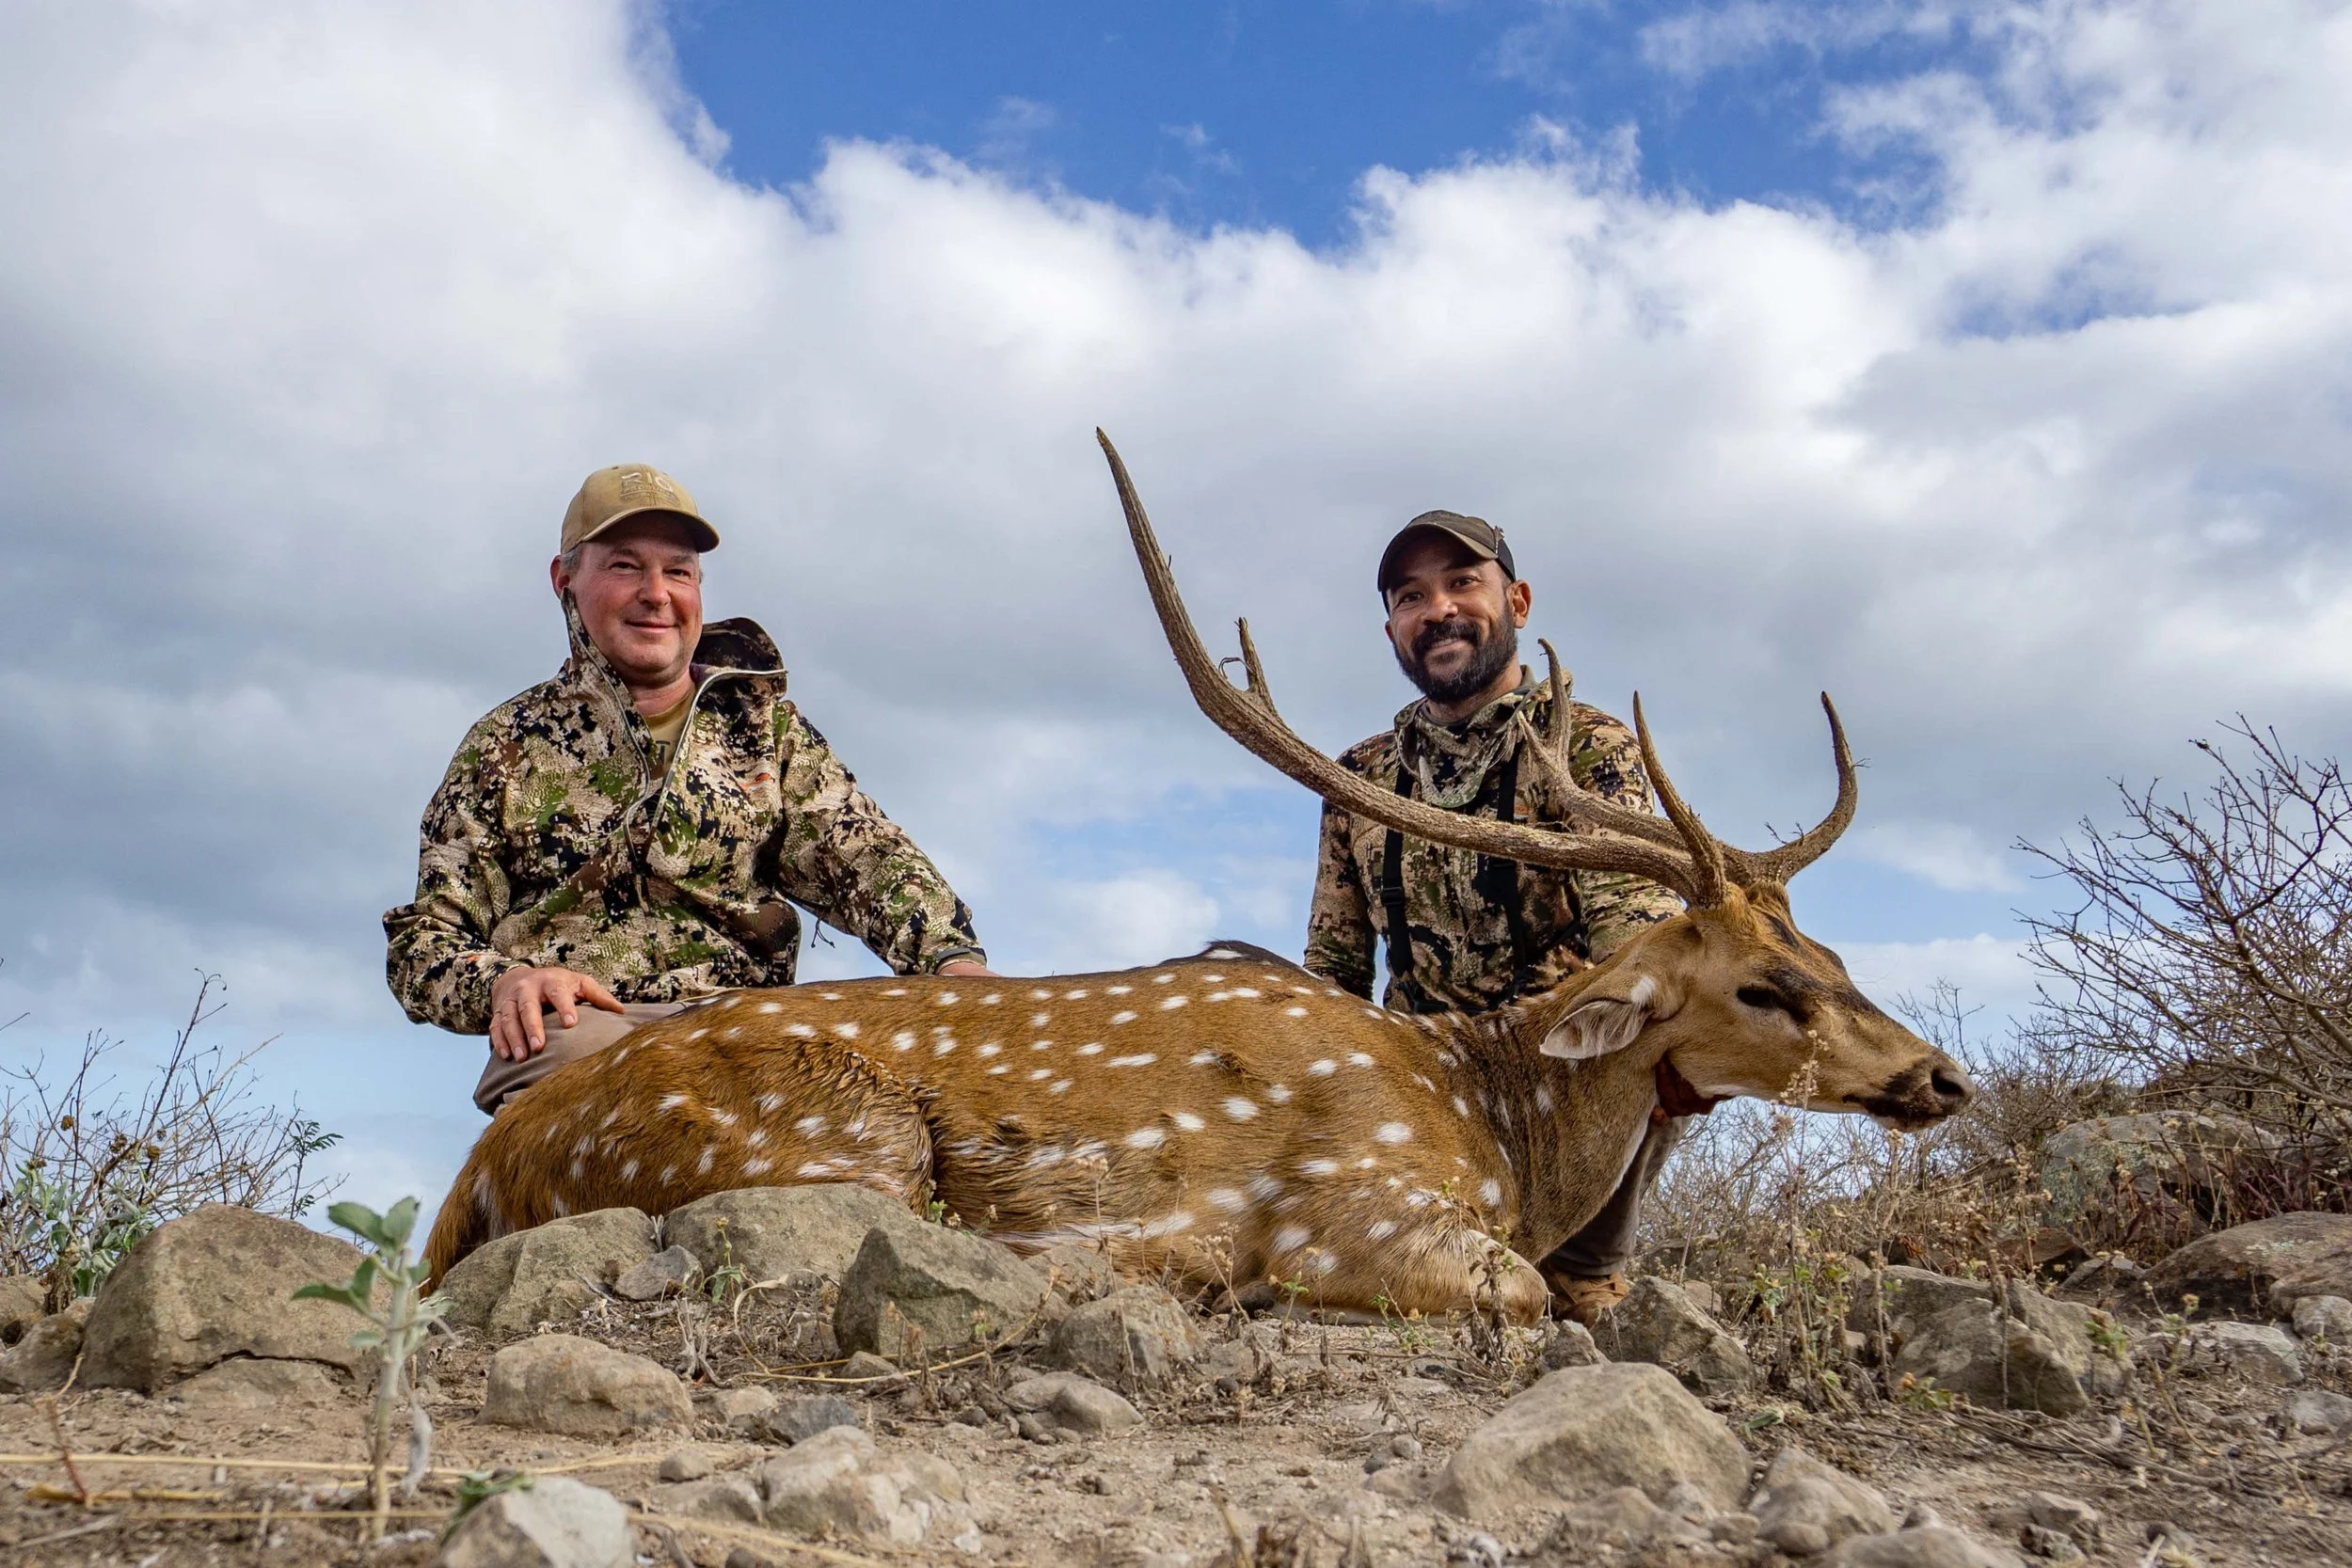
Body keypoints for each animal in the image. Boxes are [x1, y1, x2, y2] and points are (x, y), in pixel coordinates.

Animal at [423, 433, 1975, 1324]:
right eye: (1765, 984)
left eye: (1835, 955)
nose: (1942, 1074)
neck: (1494, 1119)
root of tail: (485, 1164)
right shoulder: (1355, 1210)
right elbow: (1528, 1298)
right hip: (815, 1136)